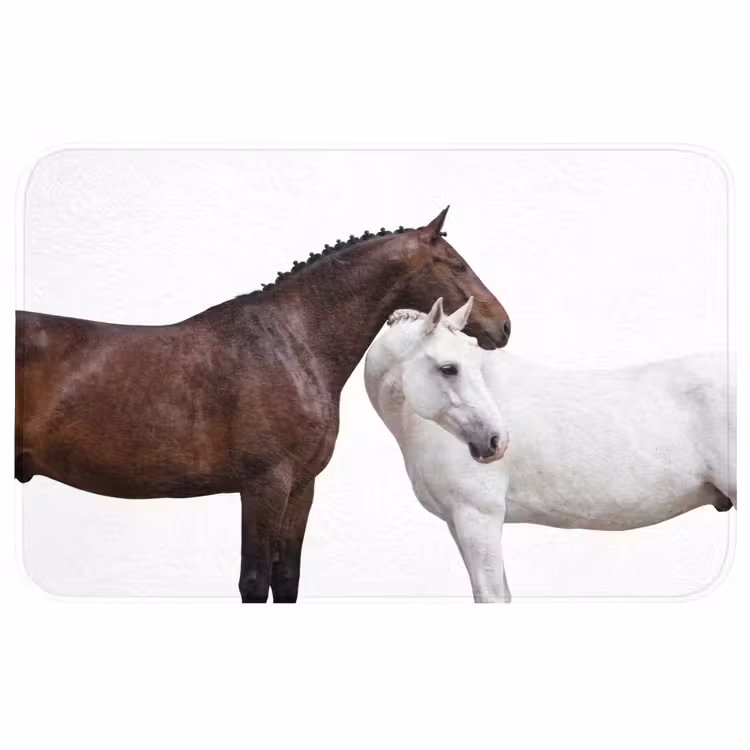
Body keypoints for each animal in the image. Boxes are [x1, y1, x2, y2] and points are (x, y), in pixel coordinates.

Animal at [15, 208, 511, 603]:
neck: (292, 343)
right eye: (457, 265)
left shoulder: (301, 486)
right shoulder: (263, 485)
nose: (504, 326)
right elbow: (254, 582)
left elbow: (285, 578)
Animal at [364, 299, 736, 603]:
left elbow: (491, 596)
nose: (496, 441)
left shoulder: (478, 517)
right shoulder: (458, 522)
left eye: (468, 364)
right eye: (449, 368)